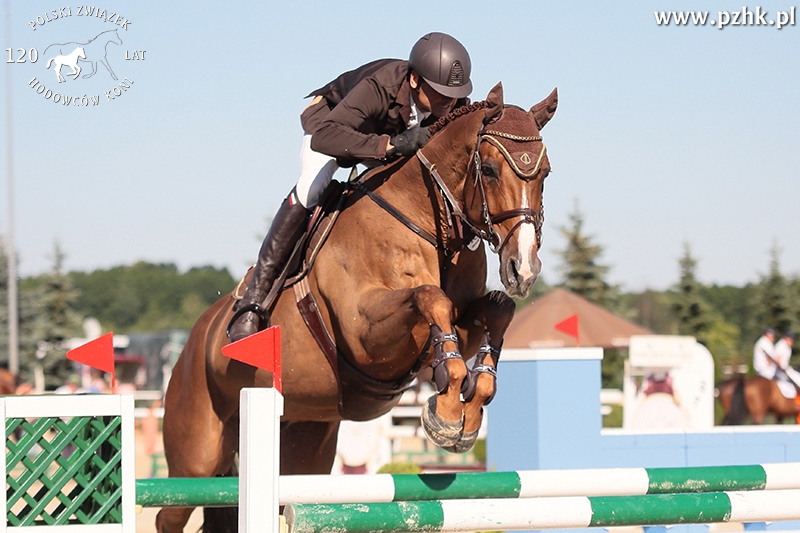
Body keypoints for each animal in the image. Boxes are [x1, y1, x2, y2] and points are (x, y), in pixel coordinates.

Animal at [155, 83, 556, 532]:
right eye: (487, 170)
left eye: (545, 173)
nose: (524, 269)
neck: (426, 218)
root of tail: (197, 338)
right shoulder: (365, 335)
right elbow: (430, 297)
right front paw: (448, 413)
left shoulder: (461, 319)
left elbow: (497, 309)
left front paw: (472, 401)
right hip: (197, 457)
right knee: (170, 513)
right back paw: (245, 323)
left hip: (303, 441)